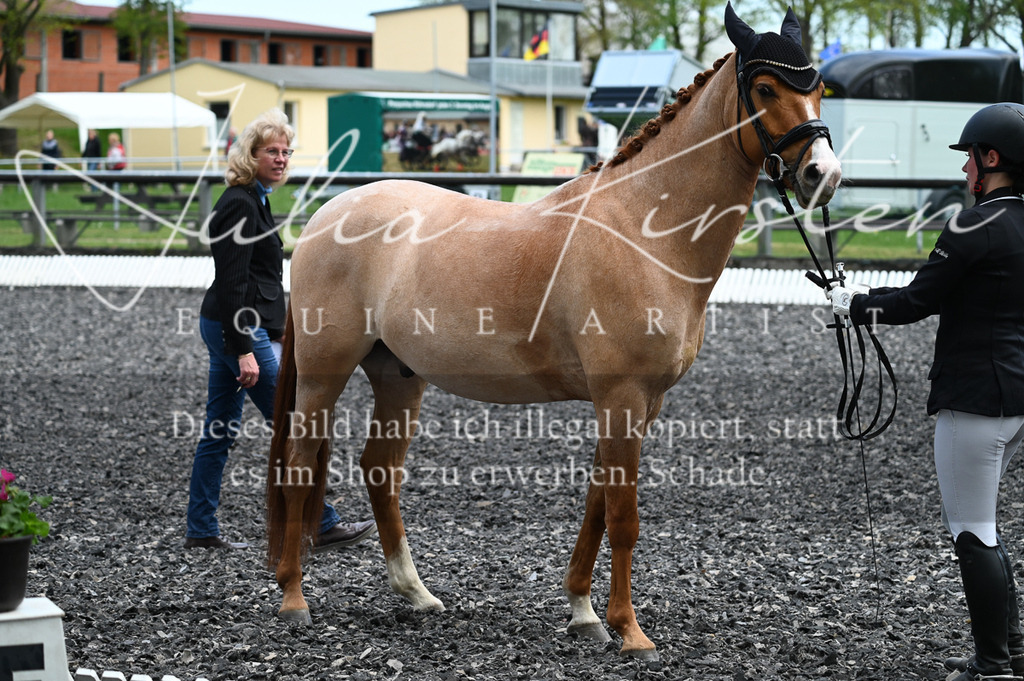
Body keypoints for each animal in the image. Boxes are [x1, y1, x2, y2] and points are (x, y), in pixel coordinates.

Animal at [266, 4, 841, 660]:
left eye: (819, 87)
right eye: (766, 88)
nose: (823, 174)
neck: (643, 230)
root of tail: (325, 216)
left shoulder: (639, 404)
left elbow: (596, 503)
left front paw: (584, 613)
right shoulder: (620, 397)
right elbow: (623, 516)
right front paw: (630, 631)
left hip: (399, 376)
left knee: (380, 470)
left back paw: (417, 595)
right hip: (323, 373)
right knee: (298, 465)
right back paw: (294, 600)